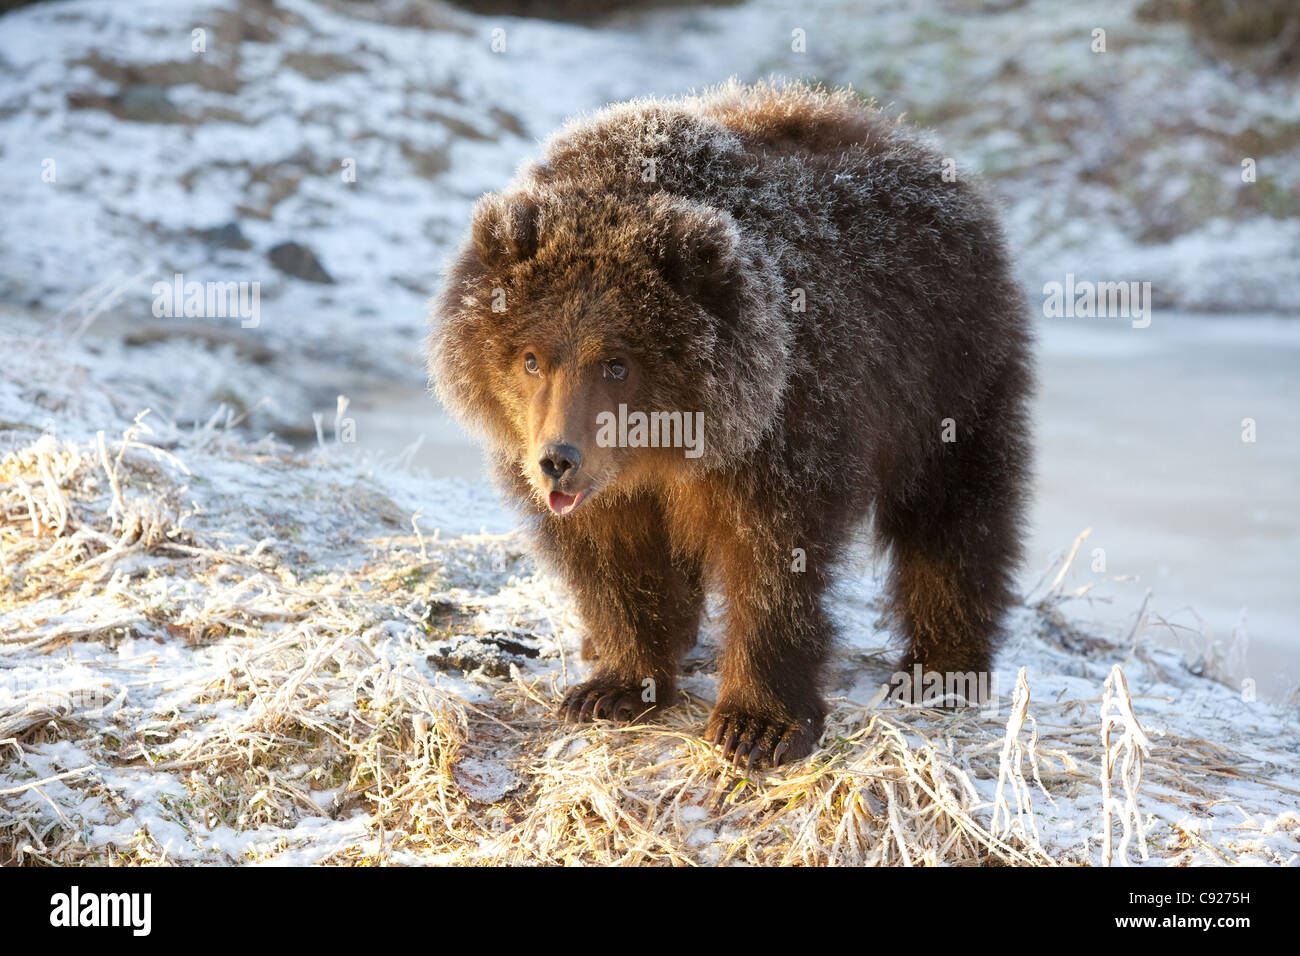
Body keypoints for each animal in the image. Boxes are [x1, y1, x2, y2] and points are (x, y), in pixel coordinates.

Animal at [427, 80, 1033, 769]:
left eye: (617, 362)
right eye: (531, 358)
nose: (558, 460)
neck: (671, 445)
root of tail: (908, 138)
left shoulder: (789, 426)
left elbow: (771, 560)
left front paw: (757, 724)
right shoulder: (597, 479)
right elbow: (611, 559)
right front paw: (614, 685)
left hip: (948, 369)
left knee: (955, 513)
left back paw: (943, 666)